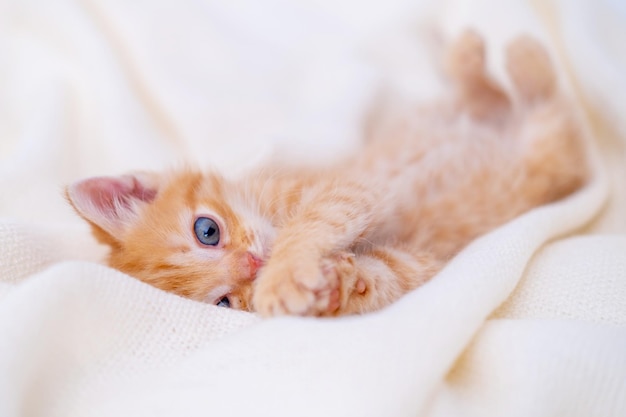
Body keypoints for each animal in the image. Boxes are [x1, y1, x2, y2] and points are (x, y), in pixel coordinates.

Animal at [67, 32, 584, 316]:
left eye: (206, 231)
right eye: (224, 303)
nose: (254, 267)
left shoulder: (349, 187)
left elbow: (315, 222)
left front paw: (284, 274)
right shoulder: (418, 262)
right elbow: (390, 278)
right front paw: (338, 288)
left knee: (521, 99)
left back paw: (502, 55)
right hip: (546, 157)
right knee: (542, 114)